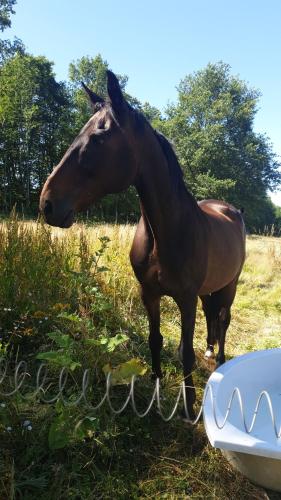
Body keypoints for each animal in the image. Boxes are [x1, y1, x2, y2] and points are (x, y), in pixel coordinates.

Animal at [40, 70, 245, 418]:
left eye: (98, 138)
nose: (48, 203)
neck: (166, 233)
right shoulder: (149, 293)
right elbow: (155, 340)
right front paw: (157, 392)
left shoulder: (185, 299)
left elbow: (184, 352)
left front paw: (188, 405)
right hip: (209, 289)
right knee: (212, 318)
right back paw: (209, 352)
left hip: (229, 285)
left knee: (223, 320)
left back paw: (219, 362)